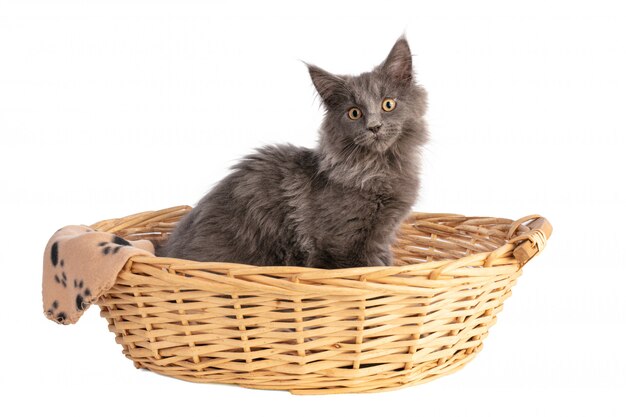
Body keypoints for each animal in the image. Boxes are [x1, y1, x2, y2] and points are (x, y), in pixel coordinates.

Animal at [158, 37, 426, 268]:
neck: (377, 169)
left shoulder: (381, 238)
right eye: (354, 113)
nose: (374, 127)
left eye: (388, 104)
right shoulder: (342, 246)